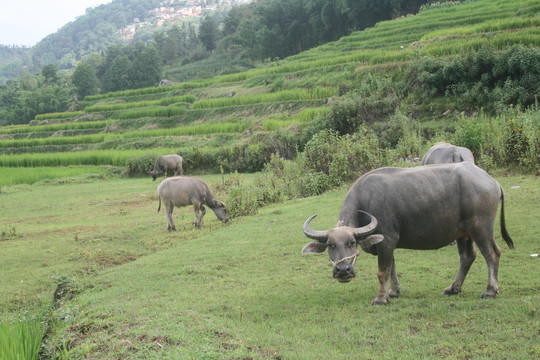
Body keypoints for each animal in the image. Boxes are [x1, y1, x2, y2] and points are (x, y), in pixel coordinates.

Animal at [304, 162, 516, 306]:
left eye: (351, 243)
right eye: (330, 245)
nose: (343, 271)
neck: (365, 202)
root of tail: (492, 181)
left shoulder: (387, 240)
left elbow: (382, 271)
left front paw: (380, 298)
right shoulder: (387, 244)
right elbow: (392, 268)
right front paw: (394, 292)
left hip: (480, 228)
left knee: (492, 254)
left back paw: (490, 291)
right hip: (463, 233)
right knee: (467, 257)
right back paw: (453, 288)